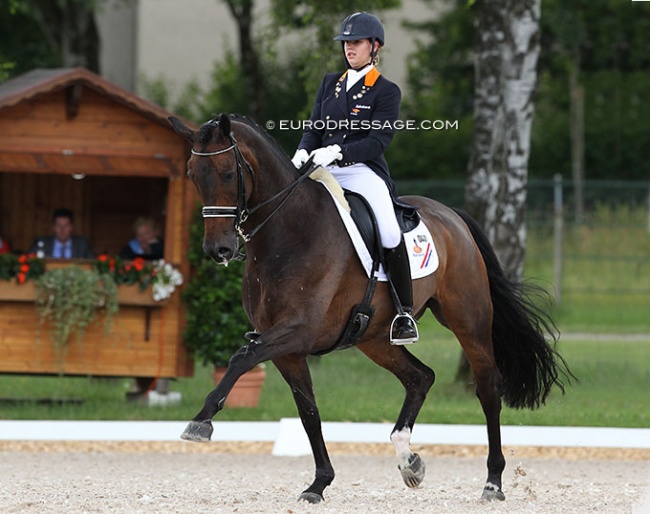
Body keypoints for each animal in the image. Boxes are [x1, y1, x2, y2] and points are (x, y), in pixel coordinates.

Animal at [170, 114, 568, 502]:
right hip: (374, 338)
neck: (289, 232)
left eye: (227, 173)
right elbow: (308, 412)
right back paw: (408, 460)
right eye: (192, 174)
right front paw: (319, 484)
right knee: (420, 378)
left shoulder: (297, 331)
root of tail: (452, 215)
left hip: (468, 320)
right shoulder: (287, 349)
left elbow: (241, 356)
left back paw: (492, 483)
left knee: (487, 387)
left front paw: (200, 421)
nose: (218, 250)